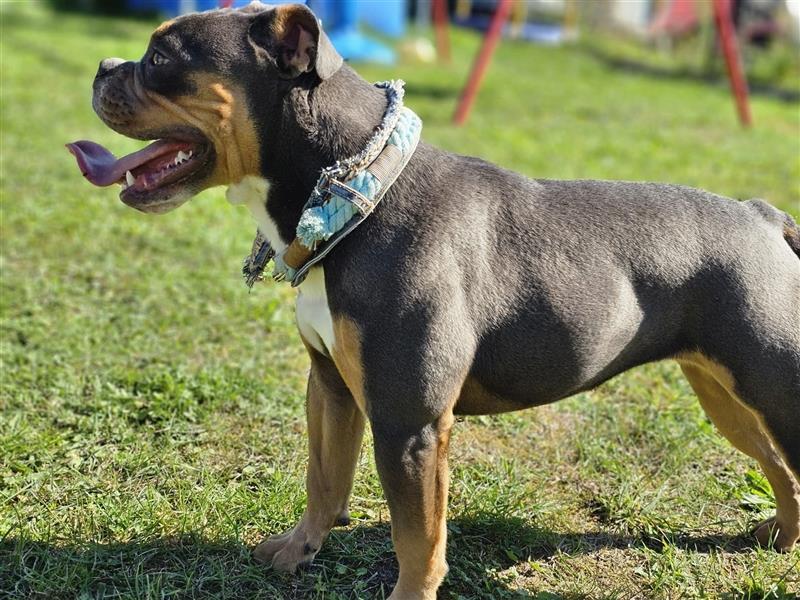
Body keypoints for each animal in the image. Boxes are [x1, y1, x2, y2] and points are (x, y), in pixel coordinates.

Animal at [70, 2, 800, 596]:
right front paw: (301, 549)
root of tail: (760, 216)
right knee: (781, 470)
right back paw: (778, 539)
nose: (101, 66)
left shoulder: (408, 423)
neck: (355, 190)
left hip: (772, 386)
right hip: (727, 396)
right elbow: (324, 476)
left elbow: (417, 538)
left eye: (163, 57)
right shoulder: (331, 388)